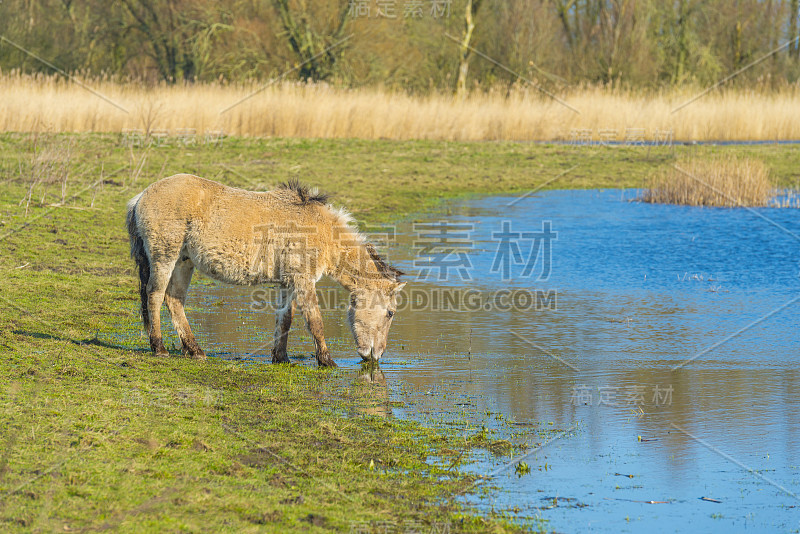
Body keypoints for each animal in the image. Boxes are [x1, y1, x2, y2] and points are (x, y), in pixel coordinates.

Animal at [126, 176, 406, 368]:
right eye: (390, 313)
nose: (376, 356)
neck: (321, 230)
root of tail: (140, 196)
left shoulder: (287, 283)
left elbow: (285, 320)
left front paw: (281, 358)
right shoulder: (304, 281)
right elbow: (315, 321)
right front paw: (327, 361)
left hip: (184, 262)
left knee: (174, 300)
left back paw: (195, 350)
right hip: (165, 257)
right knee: (155, 296)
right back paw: (159, 347)